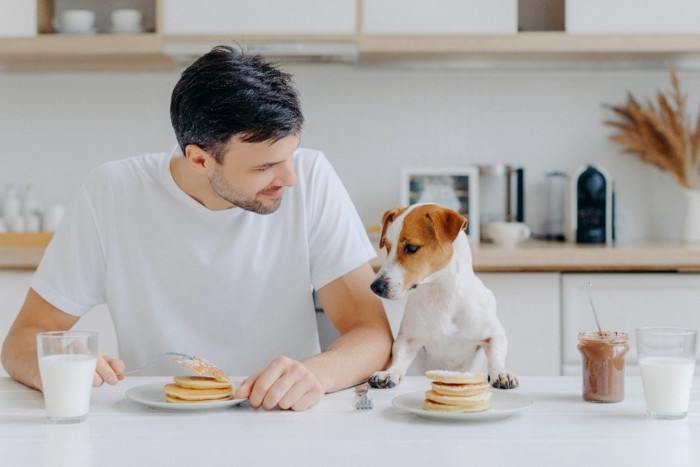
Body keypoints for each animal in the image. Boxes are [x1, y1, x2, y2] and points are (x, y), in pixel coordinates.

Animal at [370, 205, 516, 392]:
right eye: (387, 247)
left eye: (412, 247)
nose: (375, 286)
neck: (441, 294)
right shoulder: (408, 340)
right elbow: (399, 359)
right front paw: (389, 373)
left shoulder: (494, 334)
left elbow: (496, 354)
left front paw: (500, 372)